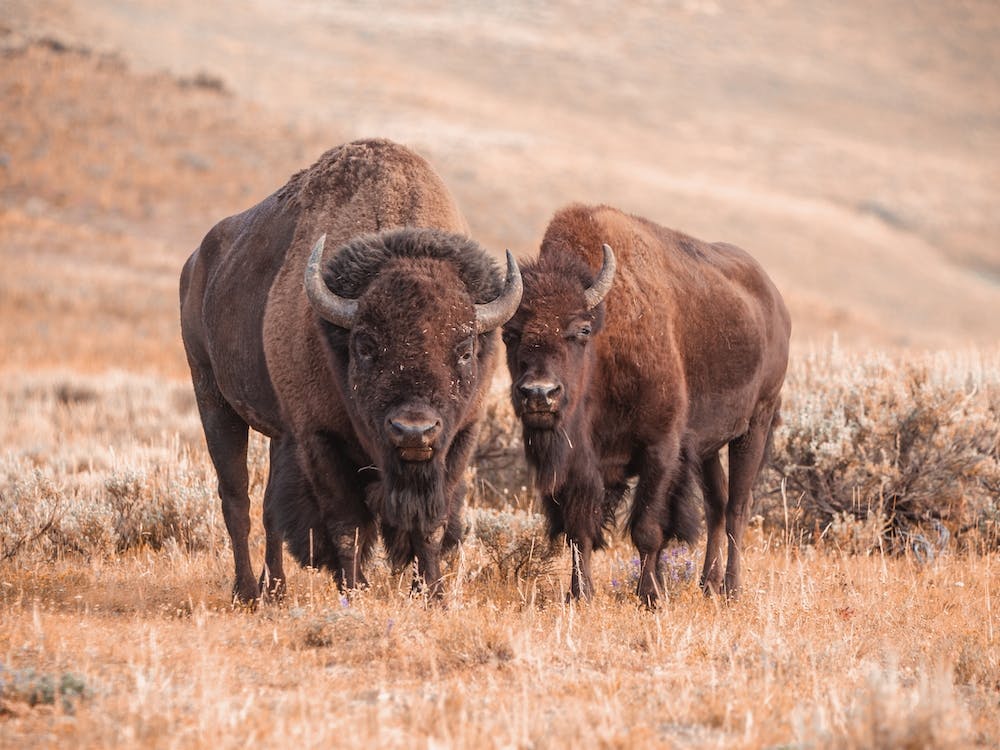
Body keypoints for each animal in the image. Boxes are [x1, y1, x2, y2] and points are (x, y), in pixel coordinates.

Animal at [180, 138, 522, 603]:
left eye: (465, 348)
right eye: (365, 345)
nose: (414, 430)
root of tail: (197, 263)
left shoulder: (460, 437)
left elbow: (430, 524)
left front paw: (431, 593)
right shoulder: (320, 438)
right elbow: (347, 526)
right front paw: (355, 590)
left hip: (277, 431)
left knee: (268, 509)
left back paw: (276, 590)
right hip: (213, 398)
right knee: (237, 500)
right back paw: (248, 592)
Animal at [502, 203, 790, 604]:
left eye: (581, 330)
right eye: (509, 334)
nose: (540, 393)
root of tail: (775, 301)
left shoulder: (661, 449)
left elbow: (648, 529)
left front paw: (650, 595)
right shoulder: (579, 465)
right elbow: (579, 530)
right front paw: (580, 595)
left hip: (755, 424)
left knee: (737, 507)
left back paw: (731, 589)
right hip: (708, 447)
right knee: (716, 505)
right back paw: (707, 584)